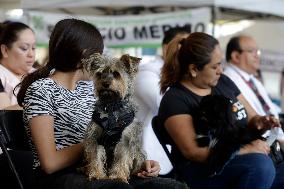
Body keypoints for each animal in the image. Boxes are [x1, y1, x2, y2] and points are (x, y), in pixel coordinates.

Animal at [80, 52, 145, 182]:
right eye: (99, 74)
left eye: (116, 74)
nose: (105, 83)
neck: (111, 106)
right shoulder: (95, 137)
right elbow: (95, 157)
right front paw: (97, 174)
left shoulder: (126, 139)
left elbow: (122, 158)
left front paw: (118, 176)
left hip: (138, 154)